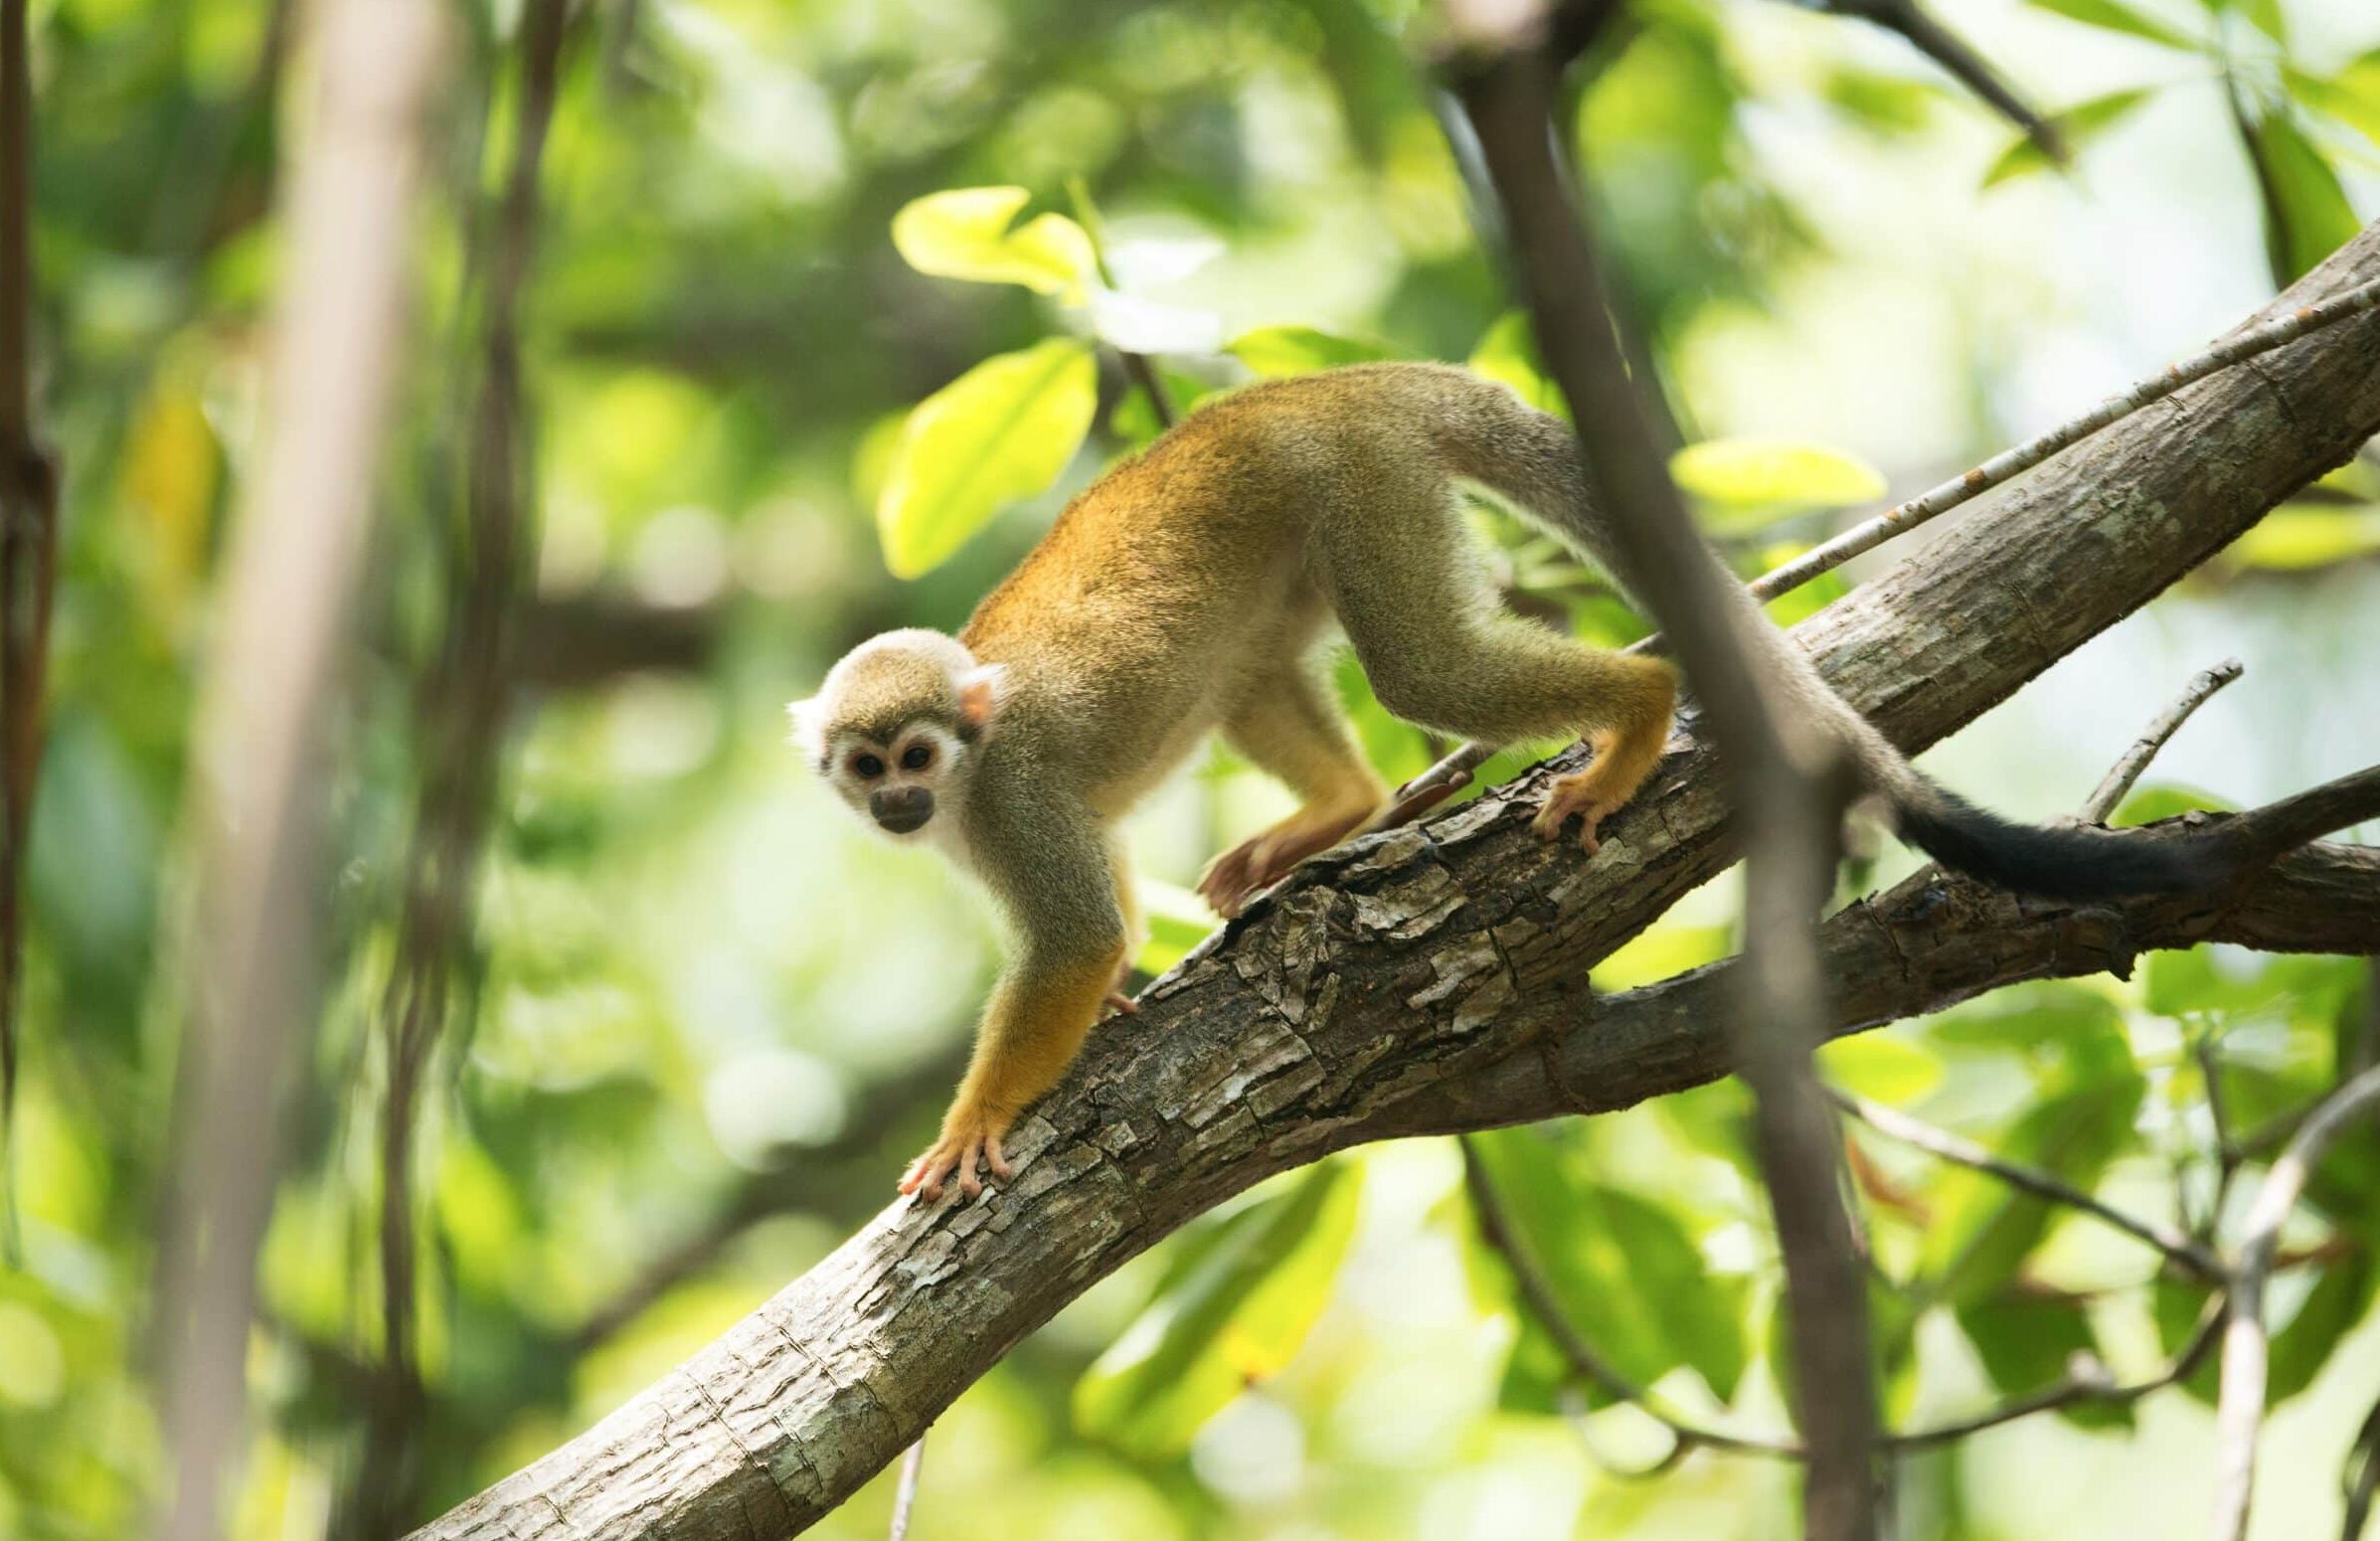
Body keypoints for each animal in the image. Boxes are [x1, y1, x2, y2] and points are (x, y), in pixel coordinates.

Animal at [799, 364, 2227, 1205]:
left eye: (916, 757)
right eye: (866, 767)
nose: (894, 804)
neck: (969, 779)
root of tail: (1320, 383)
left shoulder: (1012, 795)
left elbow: (1077, 937)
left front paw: (978, 1118)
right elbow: (1098, 924)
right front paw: (1101, 1017)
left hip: (1363, 484)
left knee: (1421, 667)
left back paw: (1637, 715)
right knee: (1266, 665)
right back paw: (1341, 809)